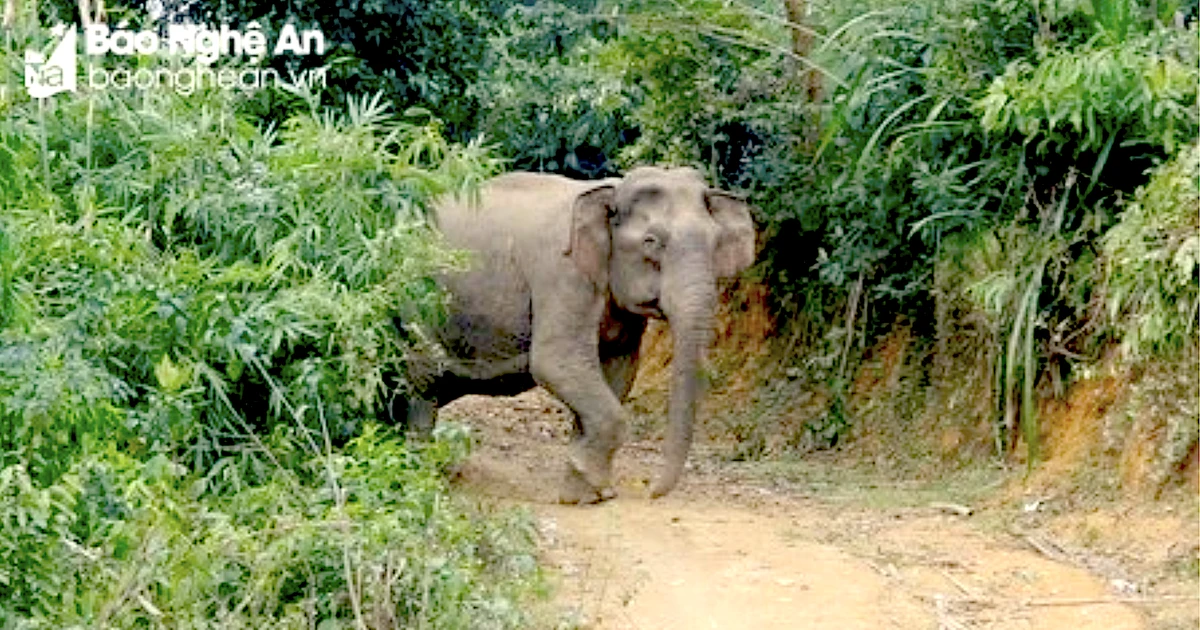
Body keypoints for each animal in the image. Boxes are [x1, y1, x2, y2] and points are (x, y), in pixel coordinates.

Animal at [388, 164, 753, 504]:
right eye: (651, 242)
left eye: (716, 242)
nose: (650, 491)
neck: (611, 189)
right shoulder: (562, 274)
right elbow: (556, 363)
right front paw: (588, 493)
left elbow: (618, 369)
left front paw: (588, 493)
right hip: (414, 309)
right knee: (422, 386)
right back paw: (419, 479)